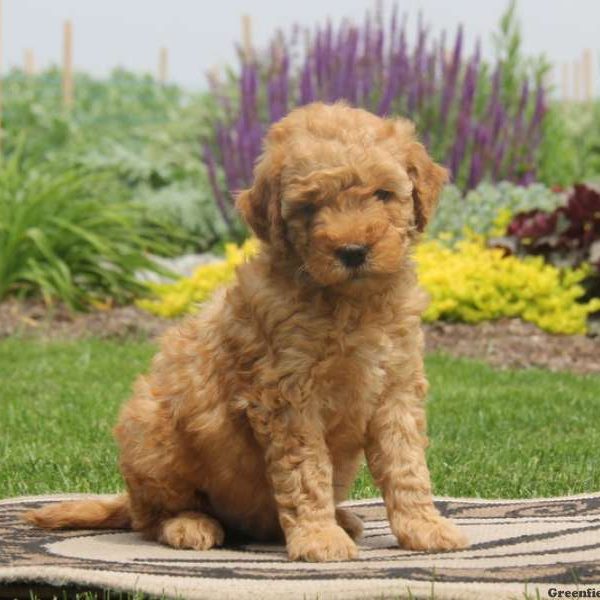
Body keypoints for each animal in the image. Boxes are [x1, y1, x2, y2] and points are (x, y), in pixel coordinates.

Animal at [25, 104, 468, 564]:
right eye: (310, 206)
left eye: (383, 194)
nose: (352, 252)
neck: (350, 303)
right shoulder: (288, 397)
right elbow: (307, 470)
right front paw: (318, 538)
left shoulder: (397, 387)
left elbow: (406, 465)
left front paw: (424, 527)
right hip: (151, 435)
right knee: (152, 518)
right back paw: (191, 525)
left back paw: (340, 518)